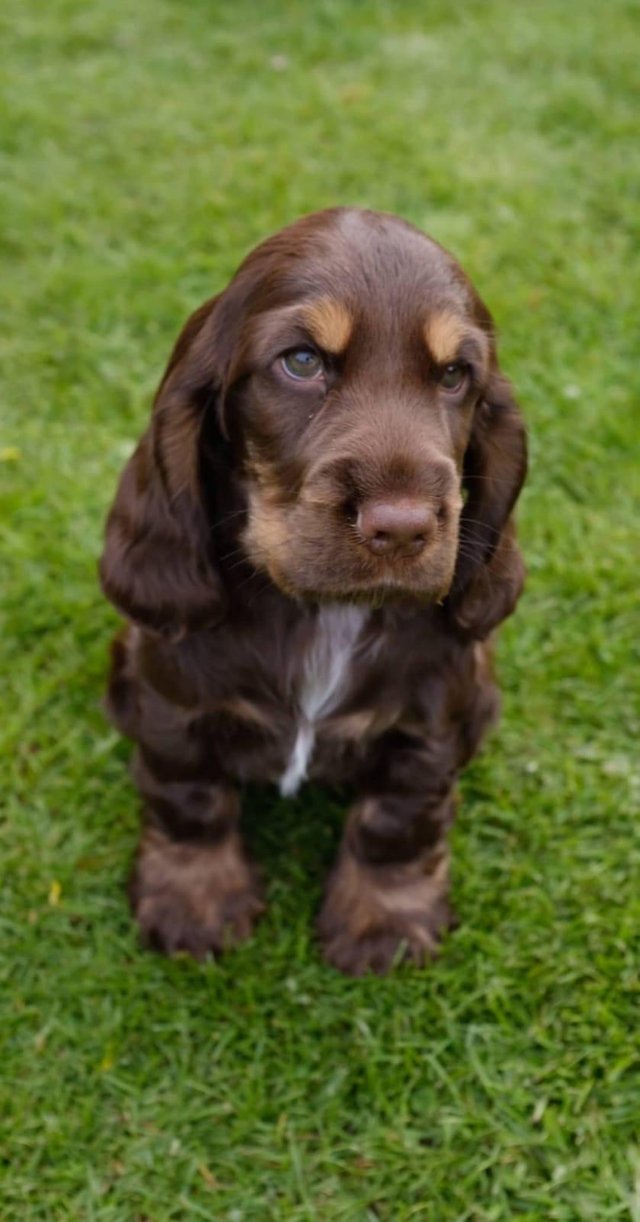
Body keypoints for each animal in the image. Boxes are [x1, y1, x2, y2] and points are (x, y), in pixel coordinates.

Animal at [100, 207, 527, 972]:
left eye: (455, 374)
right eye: (301, 362)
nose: (402, 528)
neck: (323, 613)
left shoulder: (429, 728)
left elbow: (398, 821)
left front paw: (385, 920)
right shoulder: (173, 708)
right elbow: (189, 798)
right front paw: (193, 901)